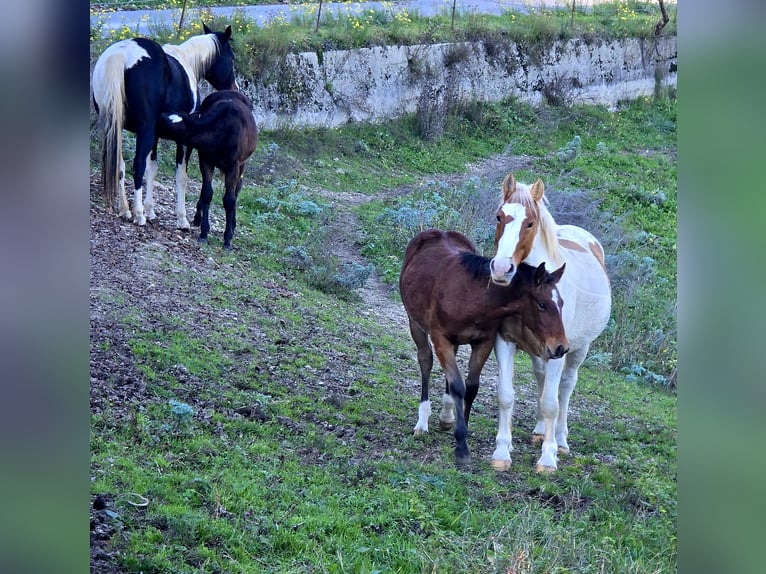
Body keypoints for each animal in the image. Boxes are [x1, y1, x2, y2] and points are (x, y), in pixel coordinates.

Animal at [89, 23, 236, 230]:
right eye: (231, 57)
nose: (234, 88)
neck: (187, 61)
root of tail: (122, 54)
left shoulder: (155, 134)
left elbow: (152, 168)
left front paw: (151, 210)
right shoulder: (183, 139)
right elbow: (180, 176)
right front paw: (181, 219)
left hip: (114, 128)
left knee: (120, 165)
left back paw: (125, 210)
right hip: (144, 130)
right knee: (137, 164)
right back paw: (138, 214)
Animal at [160, 90, 260, 250]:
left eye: (167, 124)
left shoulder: (233, 165)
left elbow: (229, 199)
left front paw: (227, 239)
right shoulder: (206, 160)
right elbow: (207, 193)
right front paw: (204, 233)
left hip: (243, 163)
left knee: (237, 189)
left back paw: (233, 224)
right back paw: (198, 218)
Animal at [402, 230, 568, 468]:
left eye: (561, 303)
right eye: (542, 305)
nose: (561, 347)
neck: (472, 298)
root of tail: (440, 232)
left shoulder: (483, 342)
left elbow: (470, 387)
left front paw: (461, 431)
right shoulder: (441, 339)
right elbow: (458, 385)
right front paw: (461, 447)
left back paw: (446, 417)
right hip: (415, 323)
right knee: (426, 361)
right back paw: (422, 422)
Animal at [492, 173, 612, 474]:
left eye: (530, 223)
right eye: (499, 217)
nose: (501, 269)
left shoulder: (559, 350)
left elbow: (551, 403)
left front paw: (548, 458)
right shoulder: (505, 342)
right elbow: (505, 395)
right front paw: (502, 452)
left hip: (579, 349)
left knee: (565, 387)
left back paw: (561, 440)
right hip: (541, 352)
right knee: (542, 378)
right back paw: (538, 431)